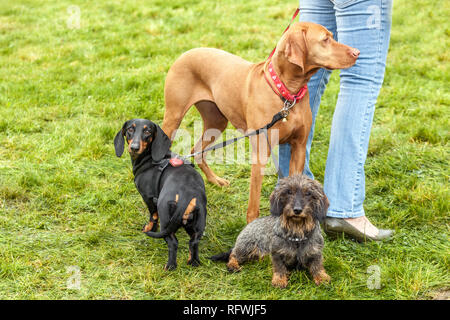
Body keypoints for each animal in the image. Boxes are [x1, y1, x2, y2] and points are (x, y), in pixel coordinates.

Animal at [162, 21, 358, 222]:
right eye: (325, 39)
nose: (357, 52)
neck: (286, 94)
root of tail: (187, 52)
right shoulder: (261, 153)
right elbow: (253, 204)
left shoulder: (299, 148)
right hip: (173, 117)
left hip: (216, 122)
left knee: (197, 151)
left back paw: (215, 180)